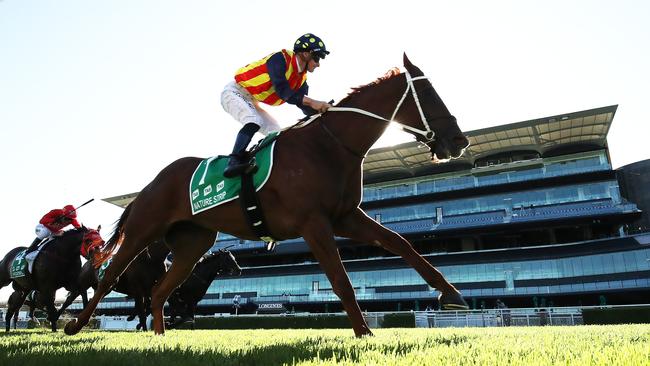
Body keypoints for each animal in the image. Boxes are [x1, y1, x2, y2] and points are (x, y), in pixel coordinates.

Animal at [66, 53, 468, 336]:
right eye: (429, 94)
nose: (458, 141)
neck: (329, 146)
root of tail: (152, 182)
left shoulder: (345, 217)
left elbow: (401, 243)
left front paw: (450, 294)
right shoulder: (314, 224)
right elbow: (340, 280)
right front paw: (364, 332)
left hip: (192, 244)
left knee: (160, 291)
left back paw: (161, 337)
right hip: (143, 231)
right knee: (110, 277)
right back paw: (73, 325)